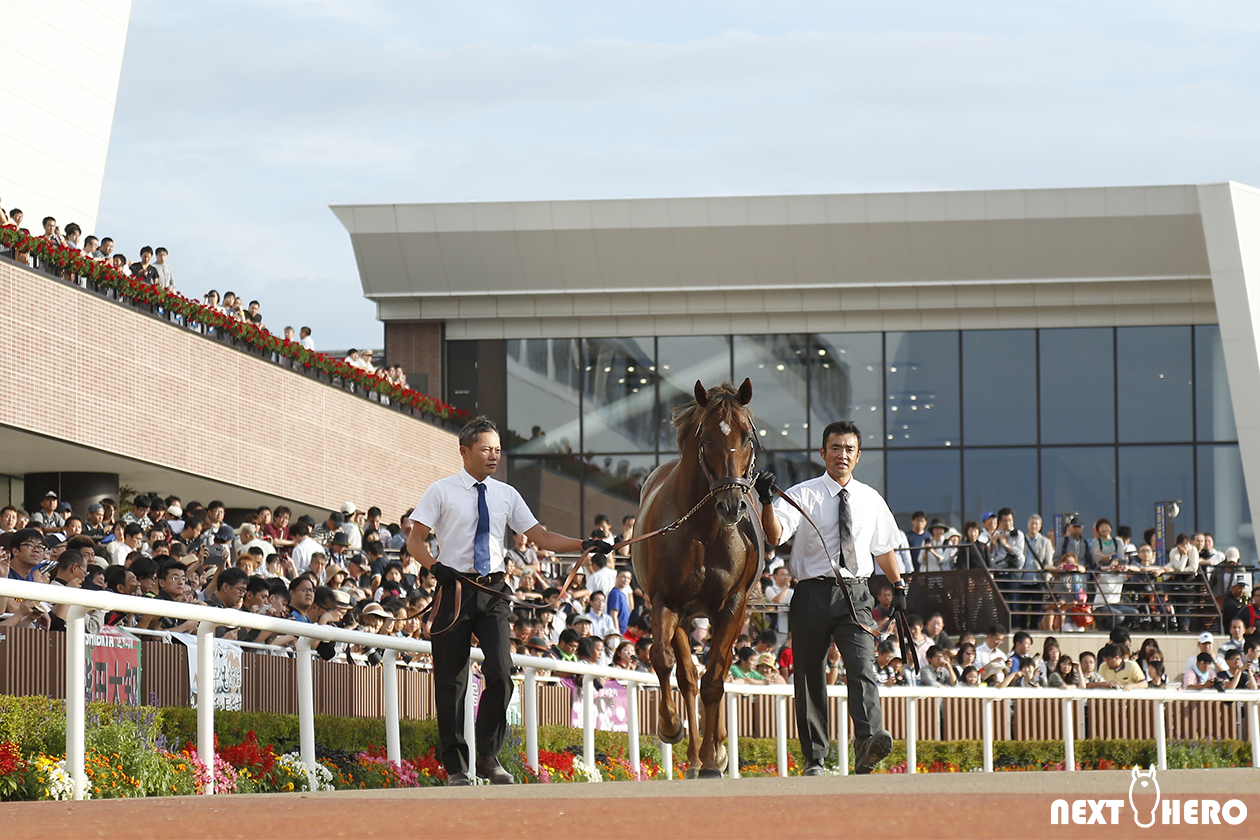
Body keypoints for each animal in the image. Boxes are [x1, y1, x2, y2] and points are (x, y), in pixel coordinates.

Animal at [631, 378, 762, 778]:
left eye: (748, 435)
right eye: (706, 439)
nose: (732, 505)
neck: (705, 529)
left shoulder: (733, 604)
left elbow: (715, 678)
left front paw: (712, 757)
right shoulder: (667, 601)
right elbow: (664, 660)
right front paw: (670, 726)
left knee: (715, 672)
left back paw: (713, 751)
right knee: (687, 675)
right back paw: (692, 757)